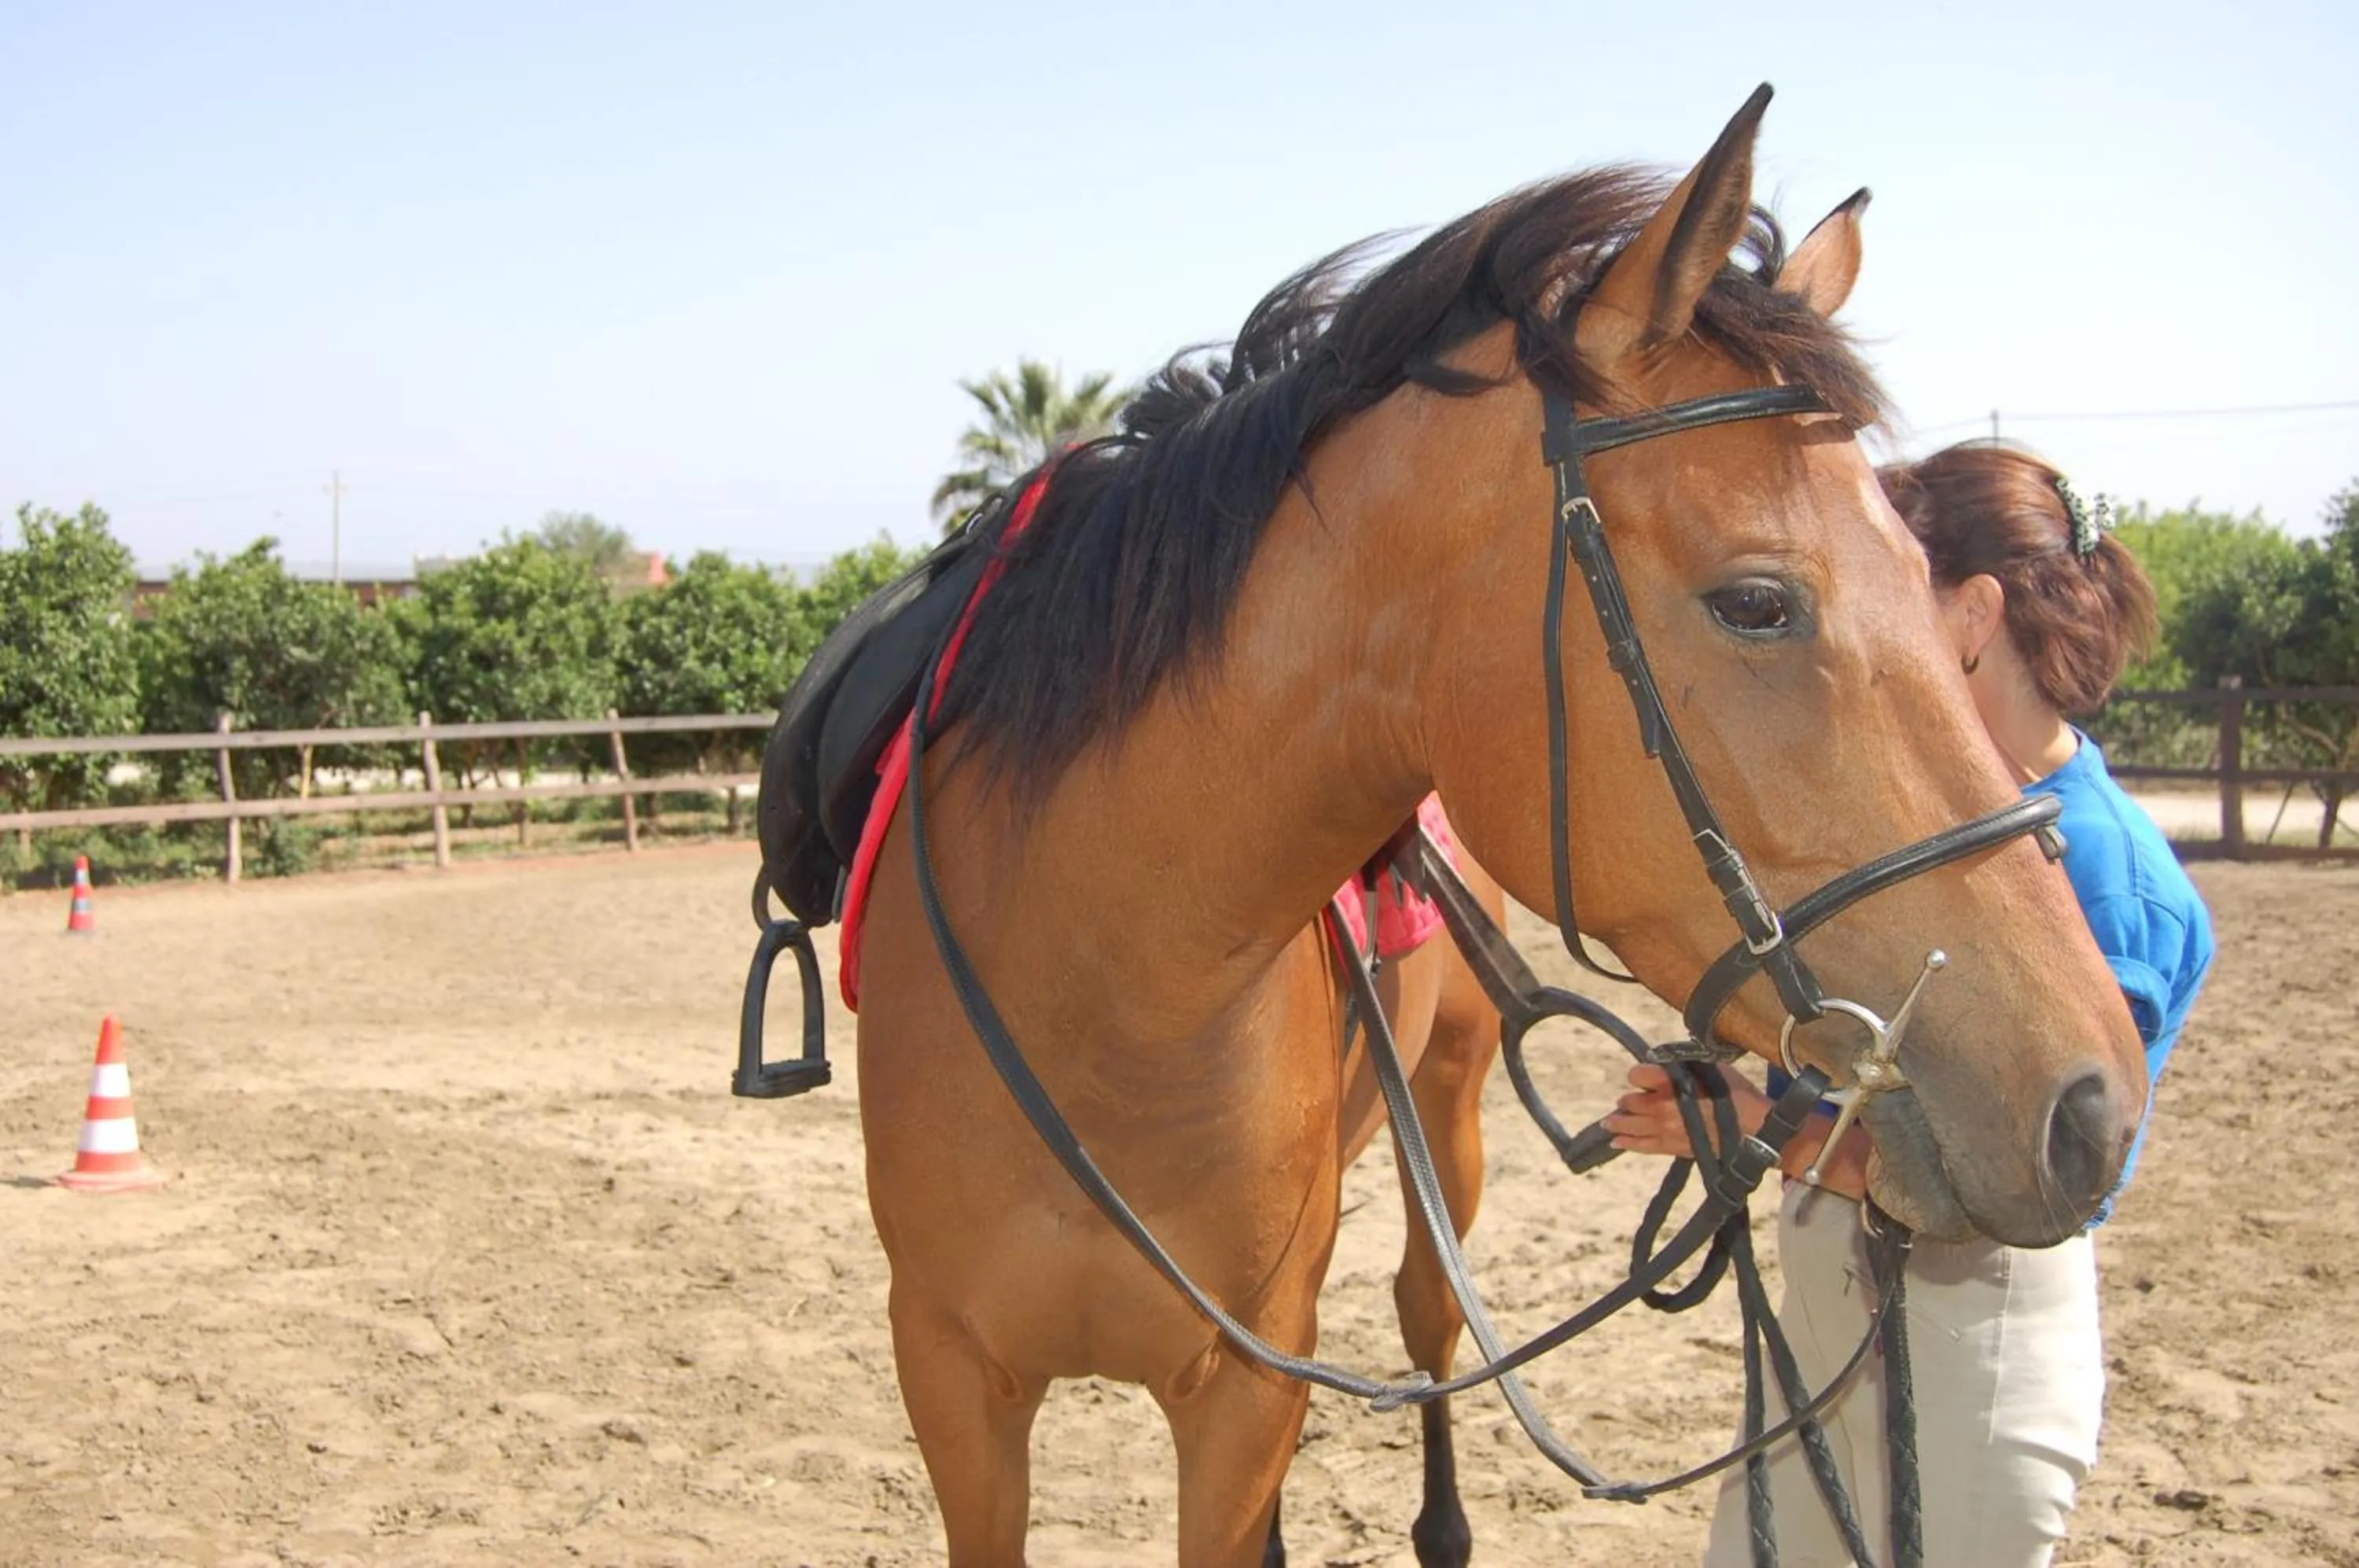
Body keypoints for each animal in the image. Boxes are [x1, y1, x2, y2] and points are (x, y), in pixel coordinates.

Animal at [845, 87, 2148, 1565]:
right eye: (1759, 601)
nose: (2093, 1101)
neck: (1101, 981)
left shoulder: (1241, 1390)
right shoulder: (953, 1379)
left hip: (1448, 1126)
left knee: (1426, 1314)